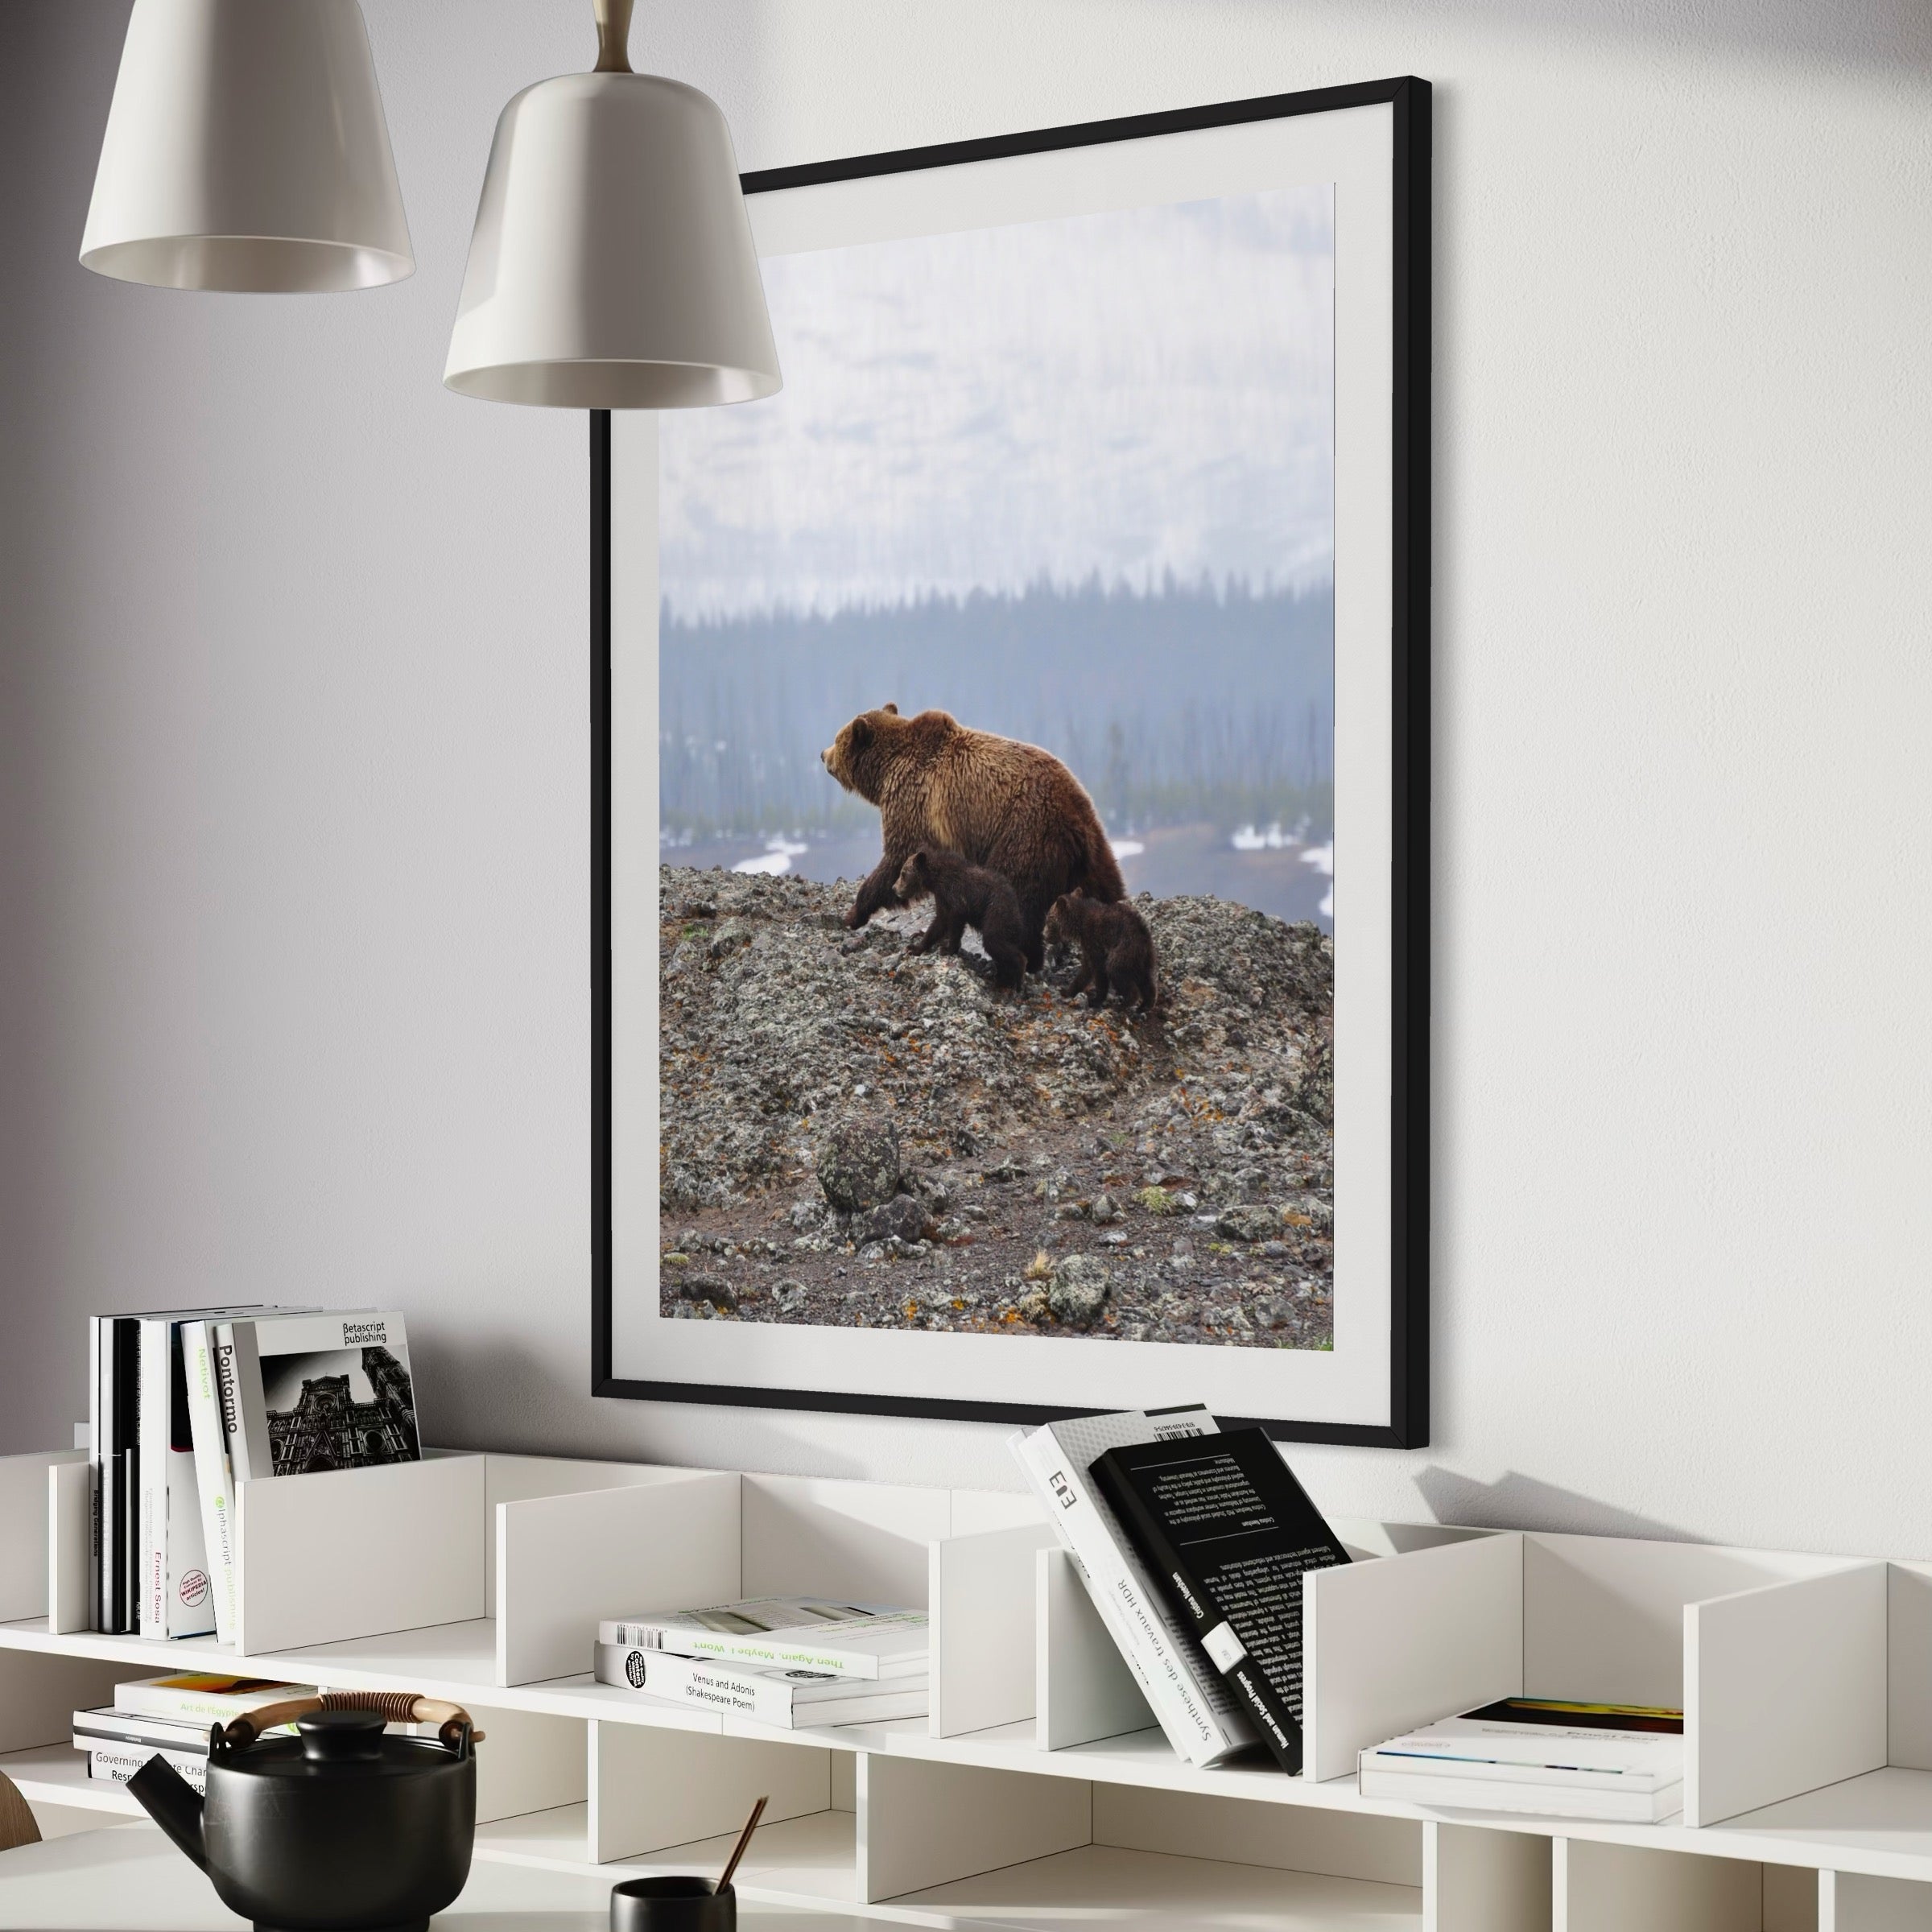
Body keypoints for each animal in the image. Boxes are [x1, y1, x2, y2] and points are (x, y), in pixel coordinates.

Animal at [821, 704, 1126, 972]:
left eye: (837, 738)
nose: (823, 754)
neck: (886, 770)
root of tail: (1076, 819)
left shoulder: (913, 800)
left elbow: (897, 858)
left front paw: (853, 913)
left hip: (1024, 835)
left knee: (1019, 897)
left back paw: (1021, 959)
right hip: (1094, 850)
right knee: (1109, 891)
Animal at [893, 849, 1028, 990]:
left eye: (903, 874)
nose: (894, 888)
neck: (936, 879)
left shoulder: (957, 896)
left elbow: (954, 923)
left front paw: (948, 949)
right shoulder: (942, 898)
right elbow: (939, 923)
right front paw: (914, 947)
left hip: (997, 912)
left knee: (993, 940)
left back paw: (1018, 977)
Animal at [1044, 889, 1160, 1015]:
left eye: (1049, 919)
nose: (1044, 936)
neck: (1079, 924)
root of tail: (1144, 938)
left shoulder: (1093, 940)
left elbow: (1097, 969)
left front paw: (1095, 1000)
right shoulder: (1088, 944)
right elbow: (1087, 970)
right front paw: (1067, 991)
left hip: (1124, 949)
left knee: (1116, 970)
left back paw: (1121, 1005)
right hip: (1144, 959)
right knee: (1146, 979)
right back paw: (1145, 1005)